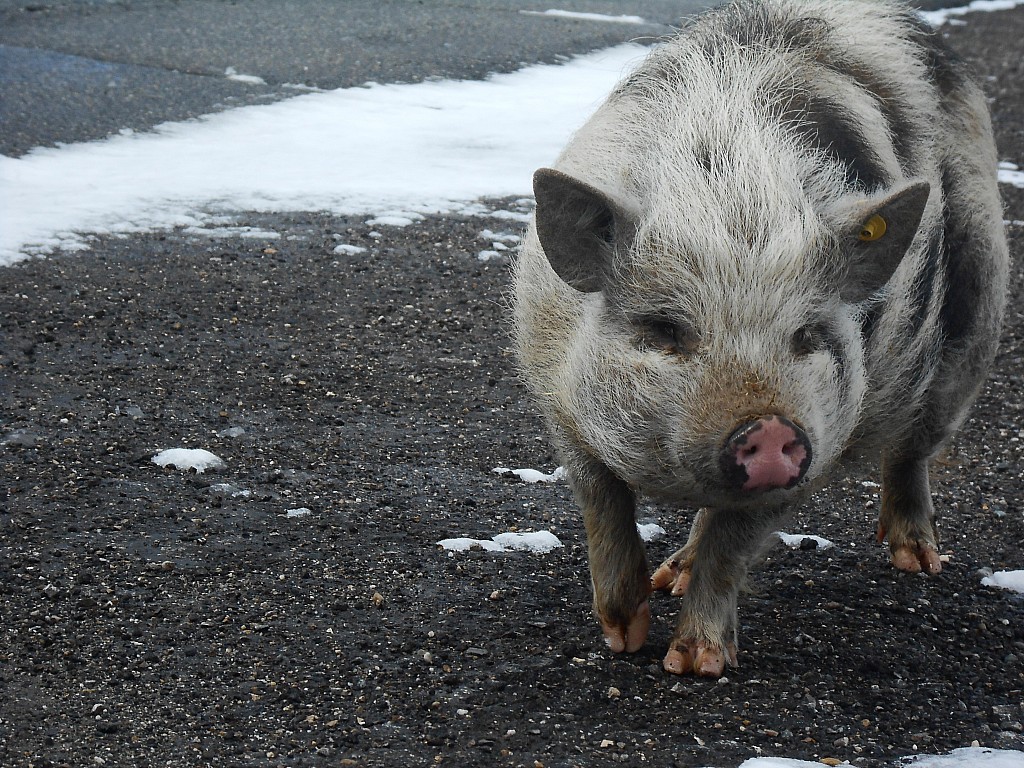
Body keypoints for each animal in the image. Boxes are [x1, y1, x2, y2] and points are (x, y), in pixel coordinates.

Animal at [512, 0, 1007, 675]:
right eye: (665, 329)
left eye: (806, 335)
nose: (770, 428)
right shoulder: (555, 385)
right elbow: (600, 500)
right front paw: (622, 636)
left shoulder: (824, 432)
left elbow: (735, 543)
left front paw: (694, 665)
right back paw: (671, 576)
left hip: (976, 325)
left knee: (915, 449)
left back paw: (921, 563)